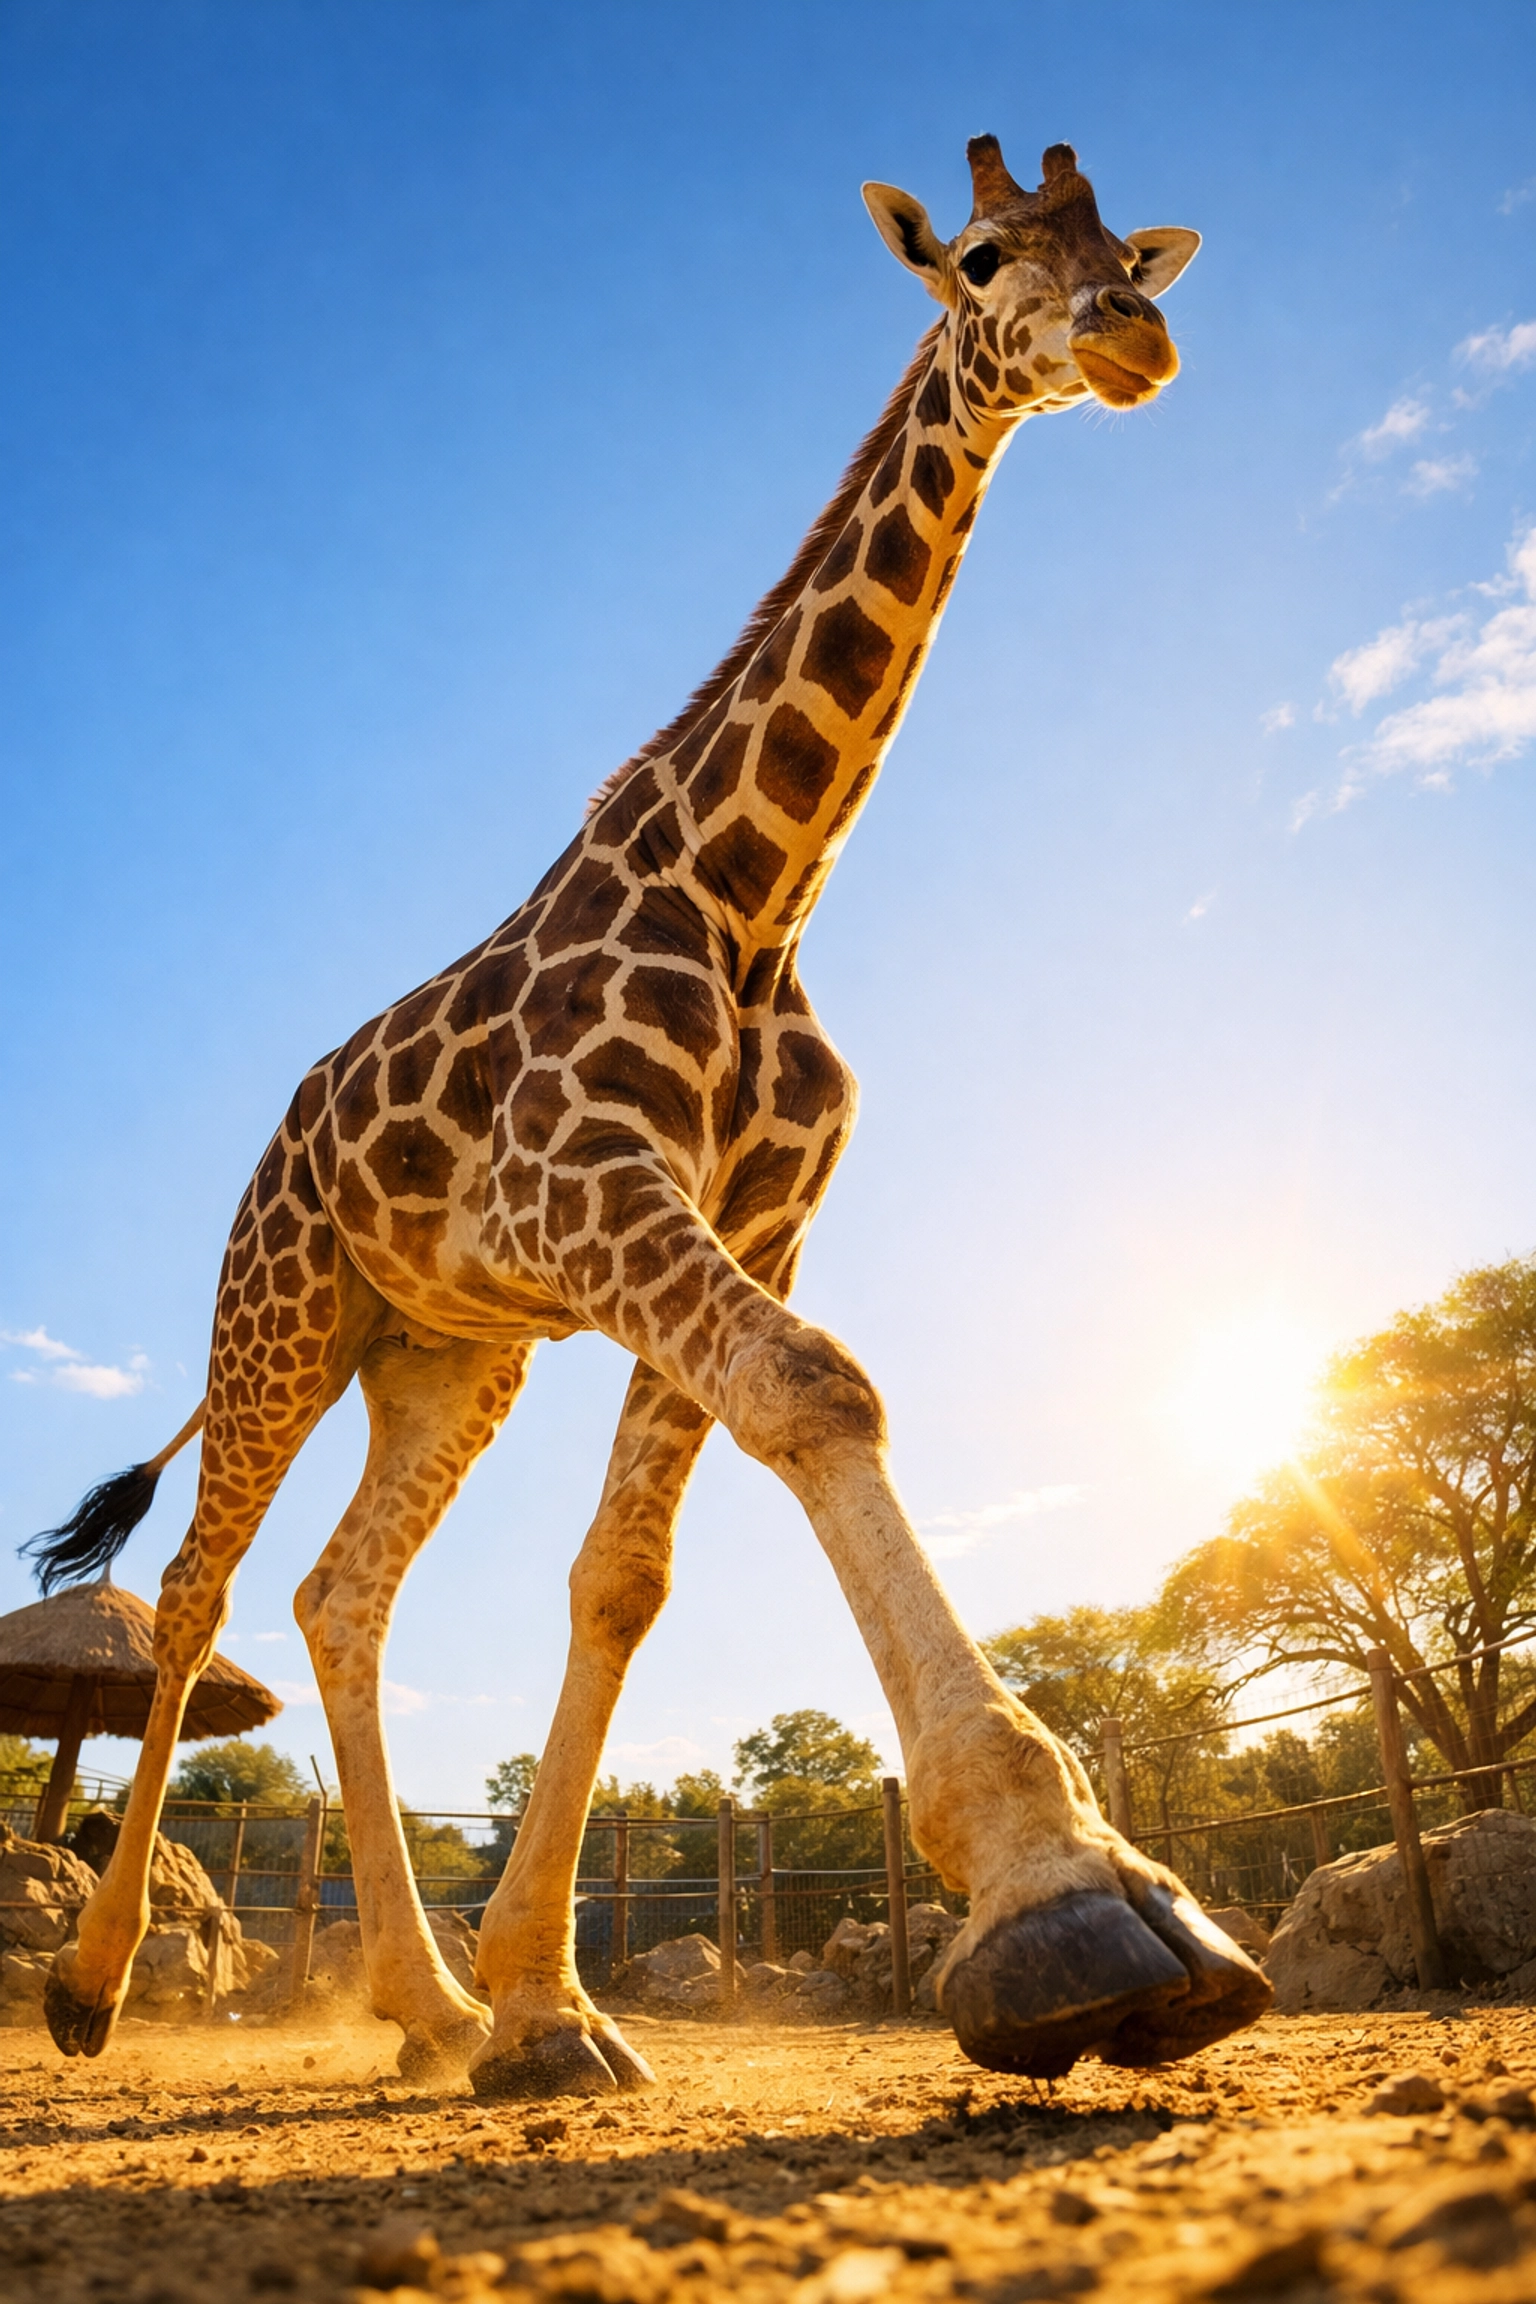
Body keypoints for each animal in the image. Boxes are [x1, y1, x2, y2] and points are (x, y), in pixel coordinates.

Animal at [30, 135, 1270, 2099]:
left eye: (1125, 251)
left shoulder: (751, 1213)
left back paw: (427, 2005)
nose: (1128, 337)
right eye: (982, 256)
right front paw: (1071, 1902)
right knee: (204, 1587)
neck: (758, 894)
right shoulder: (589, 1186)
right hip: (279, 1314)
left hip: (445, 1355)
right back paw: (90, 1982)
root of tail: (271, 1150)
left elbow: (627, 1570)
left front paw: (546, 2002)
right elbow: (820, 1389)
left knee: (339, 1595)